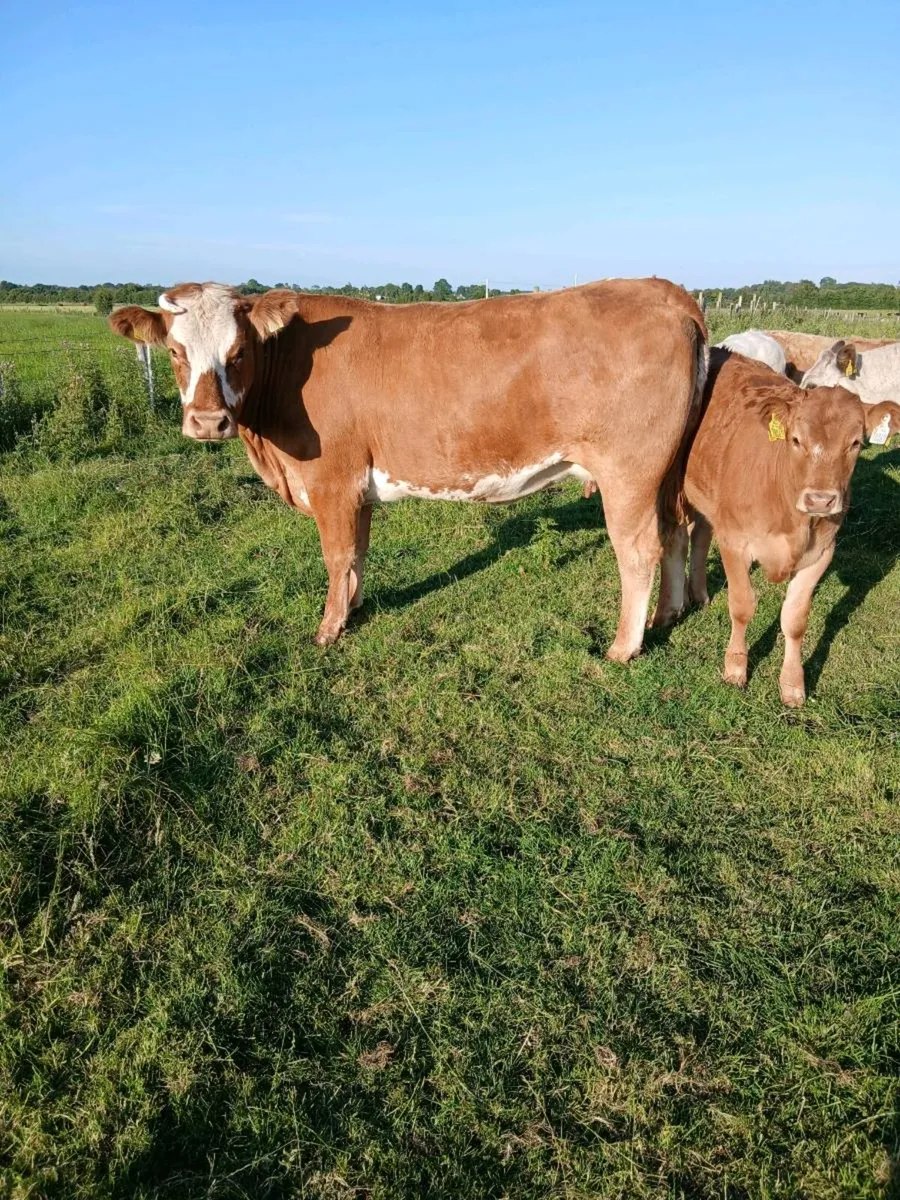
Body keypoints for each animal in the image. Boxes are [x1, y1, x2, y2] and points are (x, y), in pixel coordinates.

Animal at [109, 278, 708, 659]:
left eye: (238, 353)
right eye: (175, 352)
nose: (208, 423)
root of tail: (660, 289)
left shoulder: (331, 481)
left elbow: (336, 555)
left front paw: (328, 631)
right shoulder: (356, 486)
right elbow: (357, 554)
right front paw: (352, 609)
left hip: (629, 473)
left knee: (639, 550)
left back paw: (623, 647)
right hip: (666, 473)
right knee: (676, 531)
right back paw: (667, 616)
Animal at [658, 349, 900, 705]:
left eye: (855, 443)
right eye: (796, 440)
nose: (820, 499)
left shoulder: (821, 555)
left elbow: (795, 619)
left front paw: (793, 684)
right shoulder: (735, 544)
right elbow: (742, 606)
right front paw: (735, 668)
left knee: (701, 534)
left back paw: (700, 593)